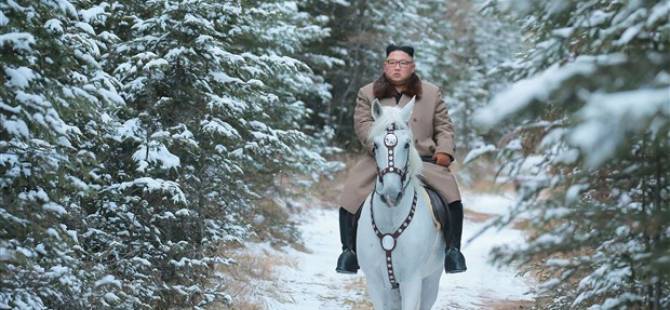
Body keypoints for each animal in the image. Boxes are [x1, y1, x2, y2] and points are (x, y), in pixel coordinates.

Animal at [356, 98, 446, 310]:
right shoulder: (375, 283)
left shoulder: (411, 281)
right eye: (375, 146)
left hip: (431, 281)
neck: (390, 221)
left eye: (407, 144)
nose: (391, 193)